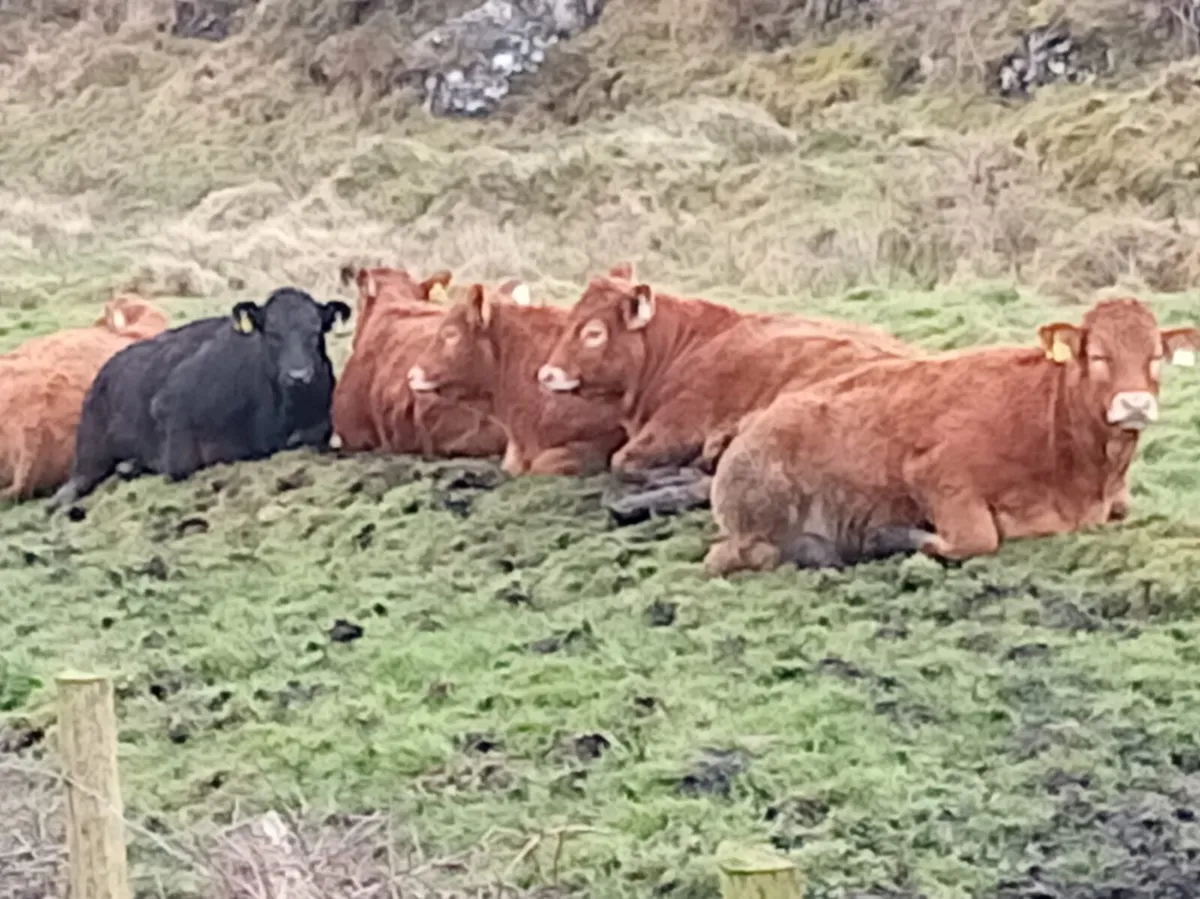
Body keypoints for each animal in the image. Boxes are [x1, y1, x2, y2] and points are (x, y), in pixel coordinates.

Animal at [47, 287, 349, 510]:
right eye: (272, 333)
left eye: (315, 332)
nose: (298, 376)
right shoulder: (169, 406)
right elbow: (178, 465)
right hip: (89, 455)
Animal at [703, 297, 1200, 577]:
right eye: (1098, 355)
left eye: (1155, 357)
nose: (1135, 404)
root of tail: (756, 421)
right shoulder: (937, 475)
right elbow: (978, 539)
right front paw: (888, 537)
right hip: (759, 518)